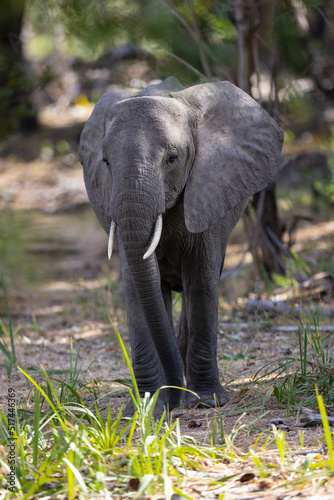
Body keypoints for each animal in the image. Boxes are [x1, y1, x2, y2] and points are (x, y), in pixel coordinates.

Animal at [79, 76, 284, 414]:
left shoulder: (212, 191)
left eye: (172, 159)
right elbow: (136, 286)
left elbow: (201, 281)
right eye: (106, 162)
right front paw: (147, 407)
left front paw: (207, 402)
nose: (173, 401)